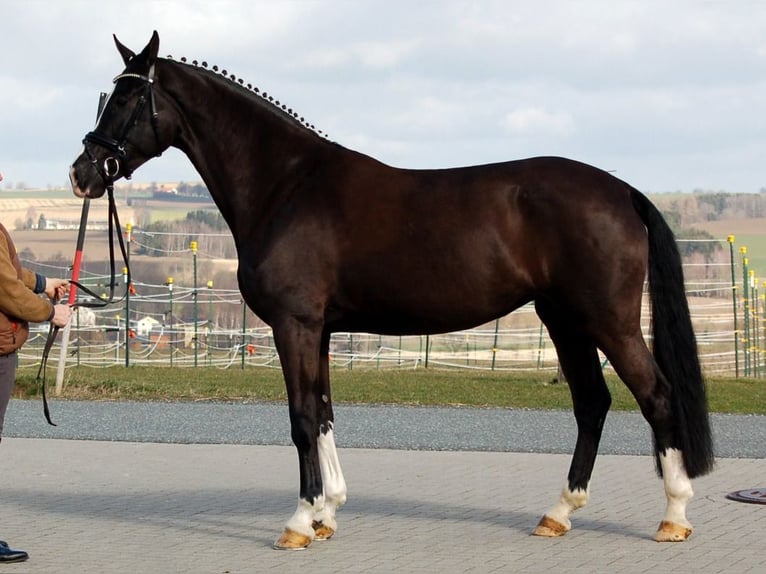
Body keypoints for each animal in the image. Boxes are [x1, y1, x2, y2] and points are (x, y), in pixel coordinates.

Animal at [69, 32, 714, 550]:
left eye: (126, 100)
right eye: (109, 96)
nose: (83, 173)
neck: (286, 185)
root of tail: (622, 190)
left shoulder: (294, 325)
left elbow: (301, 417)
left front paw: (299, 523)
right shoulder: (319, 330)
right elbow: (324, 413)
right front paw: (328, 512)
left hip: (608, 321)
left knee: (655, 396)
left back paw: (674, 516)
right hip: (565, 319)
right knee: (592, 403)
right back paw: (559, 512)